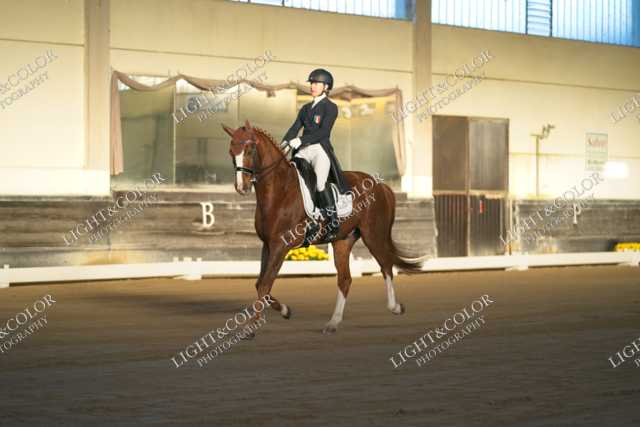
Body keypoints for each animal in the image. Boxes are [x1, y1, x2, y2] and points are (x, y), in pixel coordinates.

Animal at [222, 119, 425, 334]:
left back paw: (395, 307)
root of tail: (381, 186)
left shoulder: (280, 246)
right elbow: (260, 284)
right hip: (343, 241)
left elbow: (264, 285)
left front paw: (252, 328)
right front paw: (285, 311)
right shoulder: (268, 245)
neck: (279, 190)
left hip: (374, 236)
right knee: (345, 279)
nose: (241, 187)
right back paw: (333, 323)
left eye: (250, 149)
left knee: (386, 267)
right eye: (231, 151)